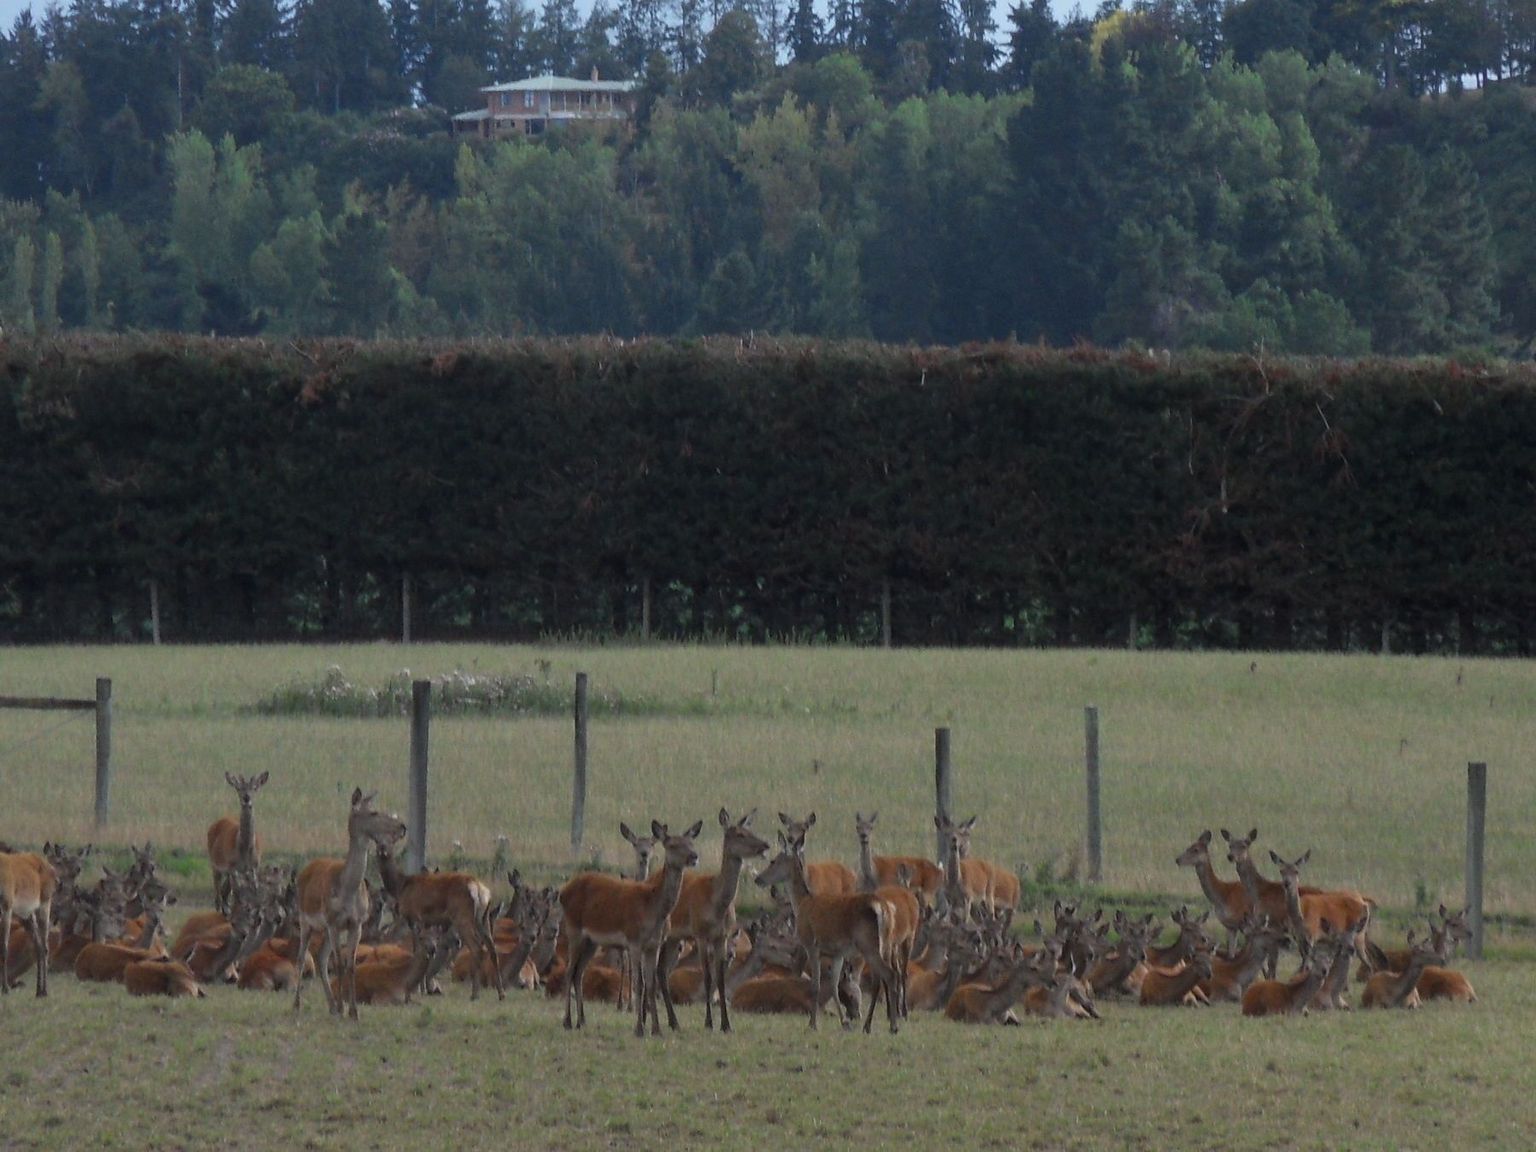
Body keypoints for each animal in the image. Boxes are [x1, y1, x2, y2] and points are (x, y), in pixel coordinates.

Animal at [207, 777, 270, 921]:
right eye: (238, 788)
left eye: (255, 787)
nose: (246, 798)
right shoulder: (232, 866)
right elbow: (237, 894)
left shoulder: (254, 866)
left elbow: (254, 890)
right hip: (215, 863)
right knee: (217, 891)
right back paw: (220, 910)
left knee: (224, 892)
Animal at [291, 792, 408, 1026]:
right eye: (373, 812)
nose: (402, 826)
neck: (347, 891)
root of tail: (304, 870)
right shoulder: (333, 921)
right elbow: (338, 963)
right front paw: (343, 1007)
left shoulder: (356, 923)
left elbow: (350, 965)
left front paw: (353, 1011)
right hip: (306, 920)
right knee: (301, 957)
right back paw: (297, 1005)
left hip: (325, 929)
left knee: (320, 957)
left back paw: (331, 1006)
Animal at [559, 817, 703, 1044]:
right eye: (672, 845)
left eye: (691, 842)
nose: (694, 857)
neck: (654, 908)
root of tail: (562, 892)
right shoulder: (634, 941)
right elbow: (639, 984)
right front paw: (639, 1029)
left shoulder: (654, 945)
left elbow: (651, 985)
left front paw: (656, 1029)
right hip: (573, 929)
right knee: (568, 971)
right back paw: (566, 1021)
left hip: (592, 941)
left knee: (578, 973)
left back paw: (581, 1021)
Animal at [654, 804, 768, 1032]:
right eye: (740, 834)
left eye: (750, 830)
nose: (765, 845)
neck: (717, 904)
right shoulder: (700, 933)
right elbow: (707, 977)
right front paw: (708, 1022)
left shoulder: (721, 936)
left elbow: (720, 979)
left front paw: (726, 1024)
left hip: (674, 937)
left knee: (662, 971)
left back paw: (673, 1021)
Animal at [752, 829, 897, 1038]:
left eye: (773, 861)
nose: (758, 879)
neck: (802, 904)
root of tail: (882, 908)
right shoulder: (837, 953)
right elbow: (835, 986)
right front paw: (844, 1022)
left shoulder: (811, 944)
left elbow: (816, 986)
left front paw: (813, 1023)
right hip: (885, 942)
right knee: (883, 977)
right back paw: (871, 1025)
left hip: (868, 944)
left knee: (889, 974)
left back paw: (891, 1026)